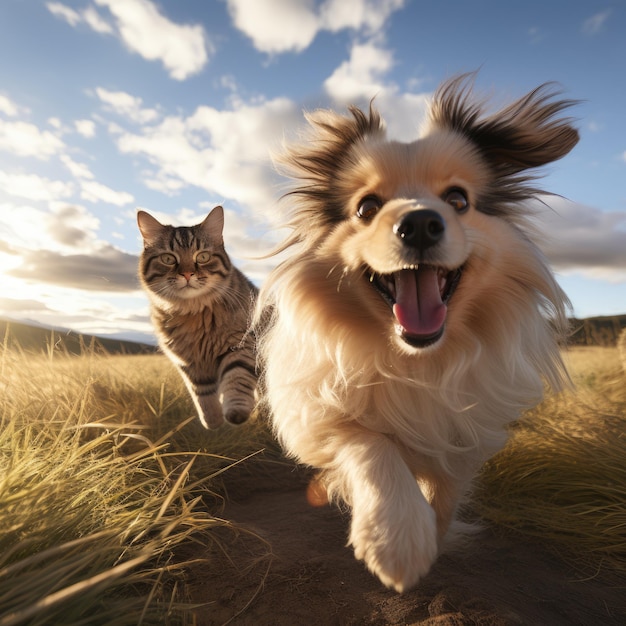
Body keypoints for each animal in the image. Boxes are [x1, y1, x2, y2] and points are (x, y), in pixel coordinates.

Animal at [138, 206, 258, 428]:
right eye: (168, 258)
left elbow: (236, 379)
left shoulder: (240, 344)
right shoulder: (187, 362)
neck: (193, 314)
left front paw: (235, 412)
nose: (187, 274)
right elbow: (202, 394)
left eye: (202, 257)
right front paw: (213, 421)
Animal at [256, 75, 576, 588]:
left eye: (458, 200)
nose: (420, 223)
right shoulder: (320, 415)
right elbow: (373, 445)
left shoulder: (462, 439)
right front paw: (396, 537)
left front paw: (433, 539)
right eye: (367, 207)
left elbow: (445, 495)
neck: (419, 362)